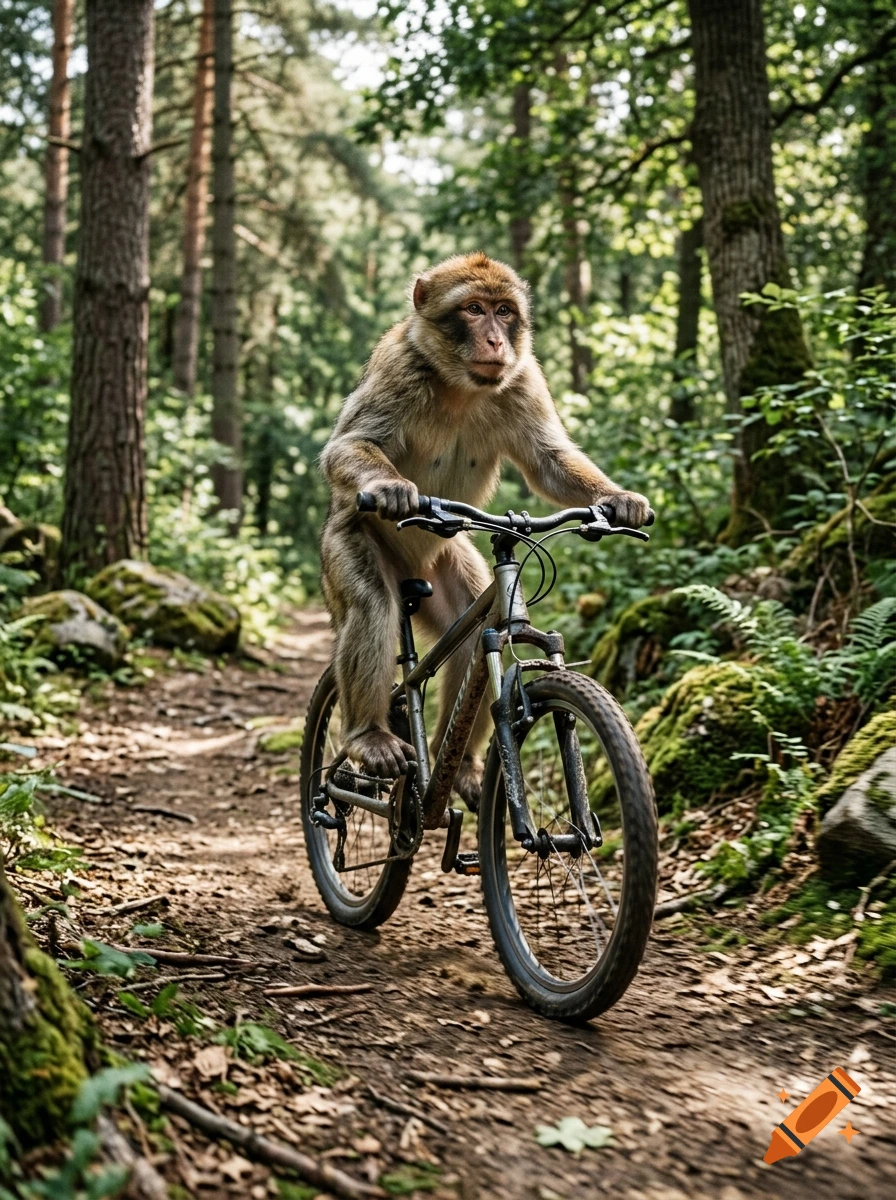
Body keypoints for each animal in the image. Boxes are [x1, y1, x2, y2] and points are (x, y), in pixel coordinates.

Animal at [319, 251, 651, 800]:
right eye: (473, 309)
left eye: (503, 311)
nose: (496, 340)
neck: (457, 384)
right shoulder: (396, 367)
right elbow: (348, 446)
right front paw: (391, 489)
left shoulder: (524, 377)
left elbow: (548, 461)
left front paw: (618, 501)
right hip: (342, 547)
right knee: (372, 604)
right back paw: (369, 737)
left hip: (443, 562)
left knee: (473, 628)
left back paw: (463, 764)